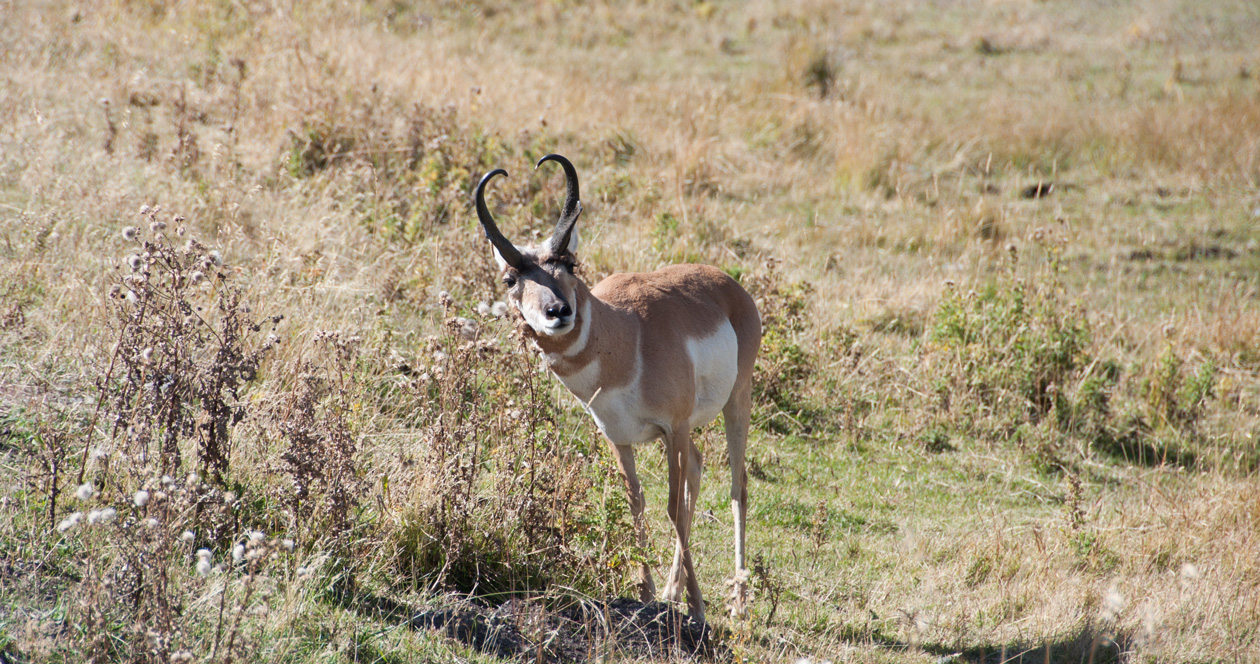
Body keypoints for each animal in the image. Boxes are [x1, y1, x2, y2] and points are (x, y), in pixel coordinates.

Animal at [474, 154, 761, 624]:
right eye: (510, 278)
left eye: (569, 264)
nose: (558, 311)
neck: (627, 338)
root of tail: (728, 284)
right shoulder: (619, 439)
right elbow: (637, 503)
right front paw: (647, 593)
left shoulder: (672, 427)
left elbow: (672, 507)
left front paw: (698, 608)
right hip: (691, 430)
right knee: (698, 470)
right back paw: (673, 591)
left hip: (735, 402)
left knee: (737, 488)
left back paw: (736, 602)